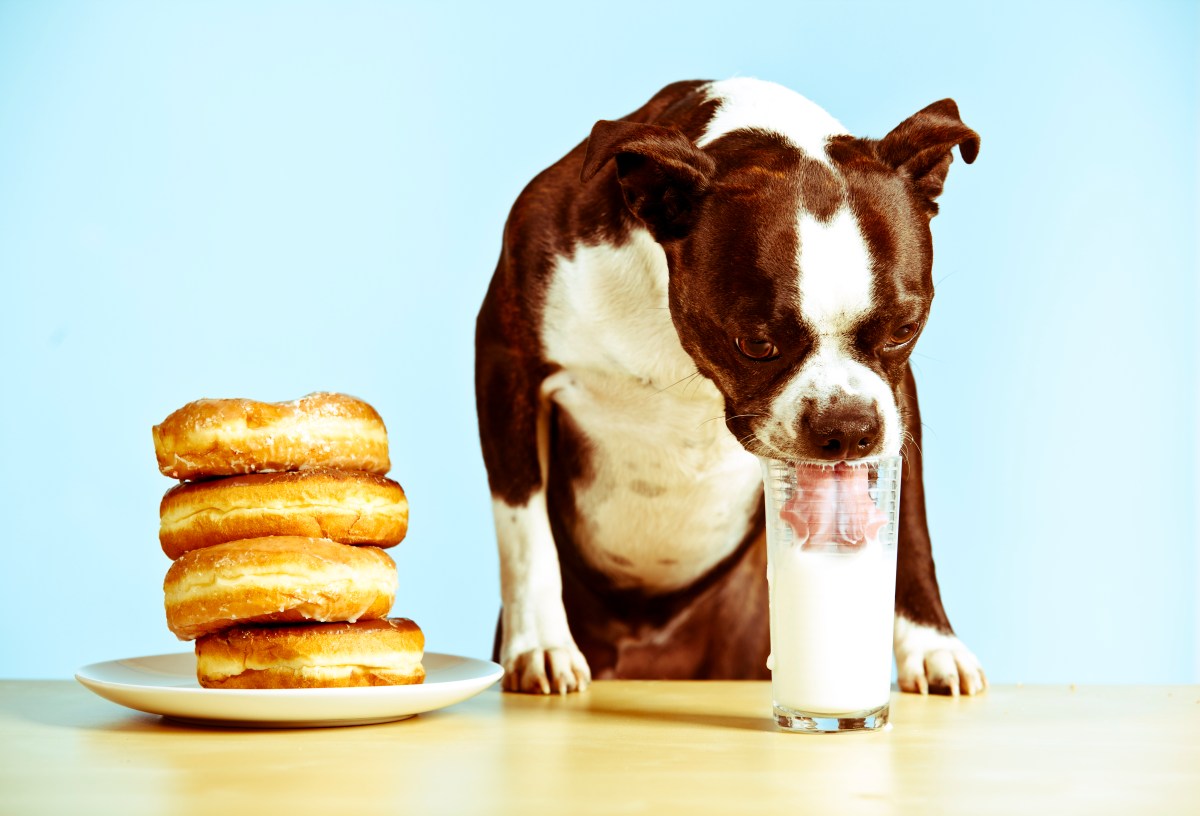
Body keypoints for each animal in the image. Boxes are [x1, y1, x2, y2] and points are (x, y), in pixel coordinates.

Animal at [472, 79, 988, 696]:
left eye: (904, 331)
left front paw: (933, 646)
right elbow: (524, 528)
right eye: (755, 345)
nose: (847, 429)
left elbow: (910, 534)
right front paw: (542, 643)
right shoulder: (507, 365)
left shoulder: (896, 399)